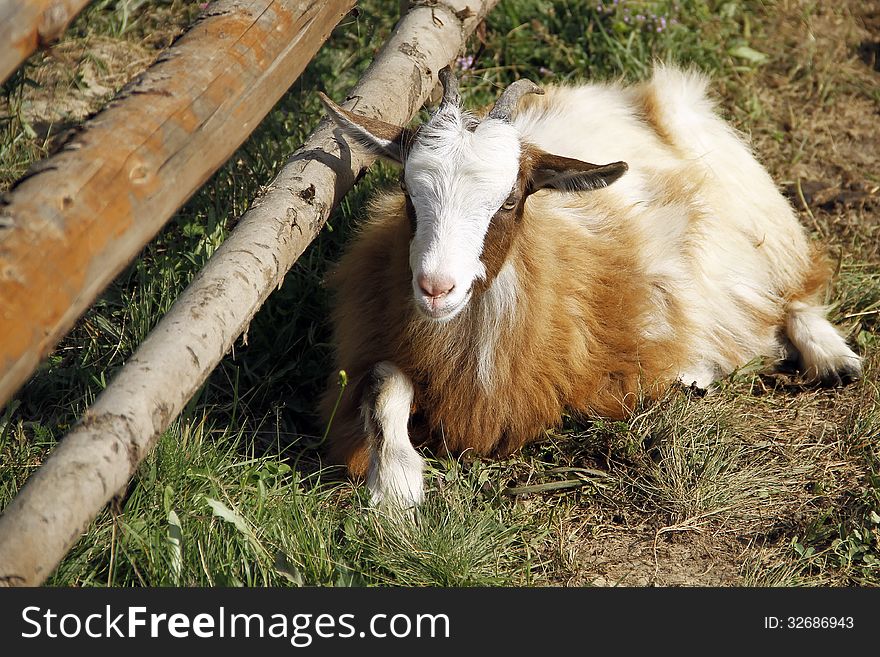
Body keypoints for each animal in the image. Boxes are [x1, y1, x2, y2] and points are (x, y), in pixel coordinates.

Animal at [314, 65, 860, 508]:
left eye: (510, 200)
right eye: (409, 193)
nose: (435, 289)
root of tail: (622, 94)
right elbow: (382, 384)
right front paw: (395, 489)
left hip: (759, 211)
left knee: (794, 291)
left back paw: (834, 359)